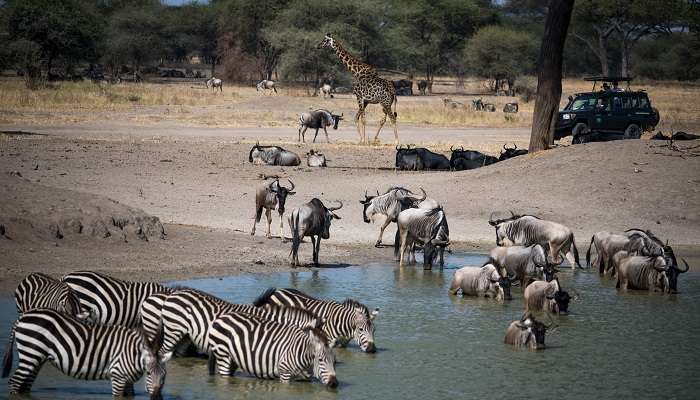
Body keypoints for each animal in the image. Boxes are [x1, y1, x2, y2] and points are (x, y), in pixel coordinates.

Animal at [1, 310, 167, 396]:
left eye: (164, 376)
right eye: (149, 373)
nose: (157, 397)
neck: (132, 353)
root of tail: (23, 316)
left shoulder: (127, 381)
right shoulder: (118, 377)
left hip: (37, 358)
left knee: (25, 385)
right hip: (30, 353)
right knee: (14, 382)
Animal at [208, 312, 340, 388]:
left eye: (334, 361)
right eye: (321, 360)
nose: (334, 384)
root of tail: (221, 317)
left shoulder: (305, 379)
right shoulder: (285, 373)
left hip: (234, 359)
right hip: (223, 355)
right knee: (224, 377)